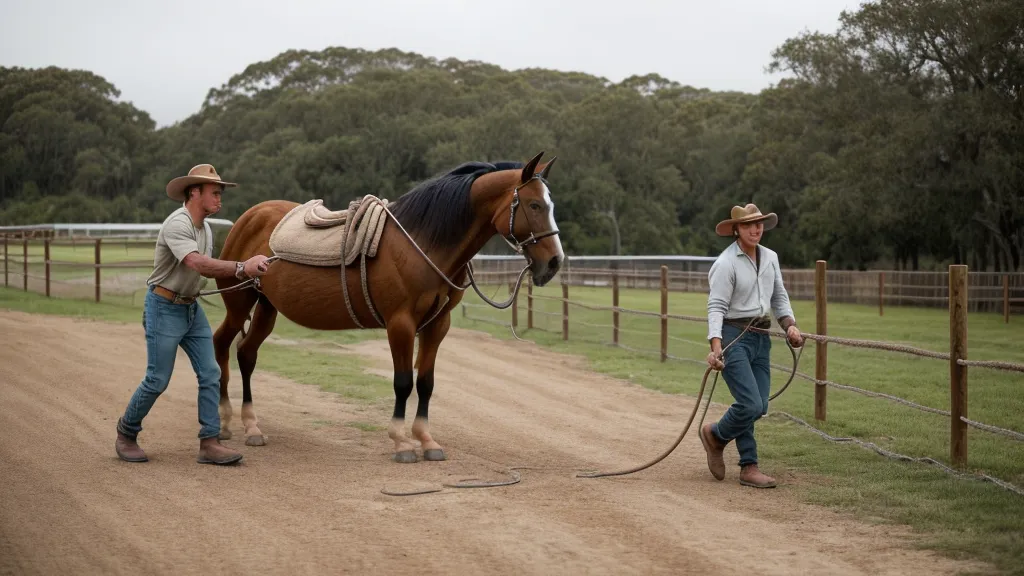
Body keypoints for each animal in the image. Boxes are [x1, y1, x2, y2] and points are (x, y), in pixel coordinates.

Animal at [210, 151, 564, 463]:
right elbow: (403, 382)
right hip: (239, 305)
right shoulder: (401, 324)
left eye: (550, 204)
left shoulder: (438, 325)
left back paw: (252, 427)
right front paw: (402, 443)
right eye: (534, 205)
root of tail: (250, 218)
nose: (554, 263)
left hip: (266, 308)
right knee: (221, 344)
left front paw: (427, 441)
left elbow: (426, 383)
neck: (422, 244)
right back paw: (224, 421)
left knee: (246, 354)